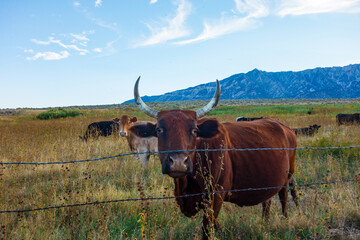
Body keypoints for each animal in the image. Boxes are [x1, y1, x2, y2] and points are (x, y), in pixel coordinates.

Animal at [129, 76, 298, 238]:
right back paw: (265, 222)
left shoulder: (216, 195)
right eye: (159, 129)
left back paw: (285, 220)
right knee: (267, 201)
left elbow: (207, 227)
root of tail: (285, 127)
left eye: (195, 130)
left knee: (284, 199)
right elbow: (215, 224)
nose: (178, 163)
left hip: (287, 177)